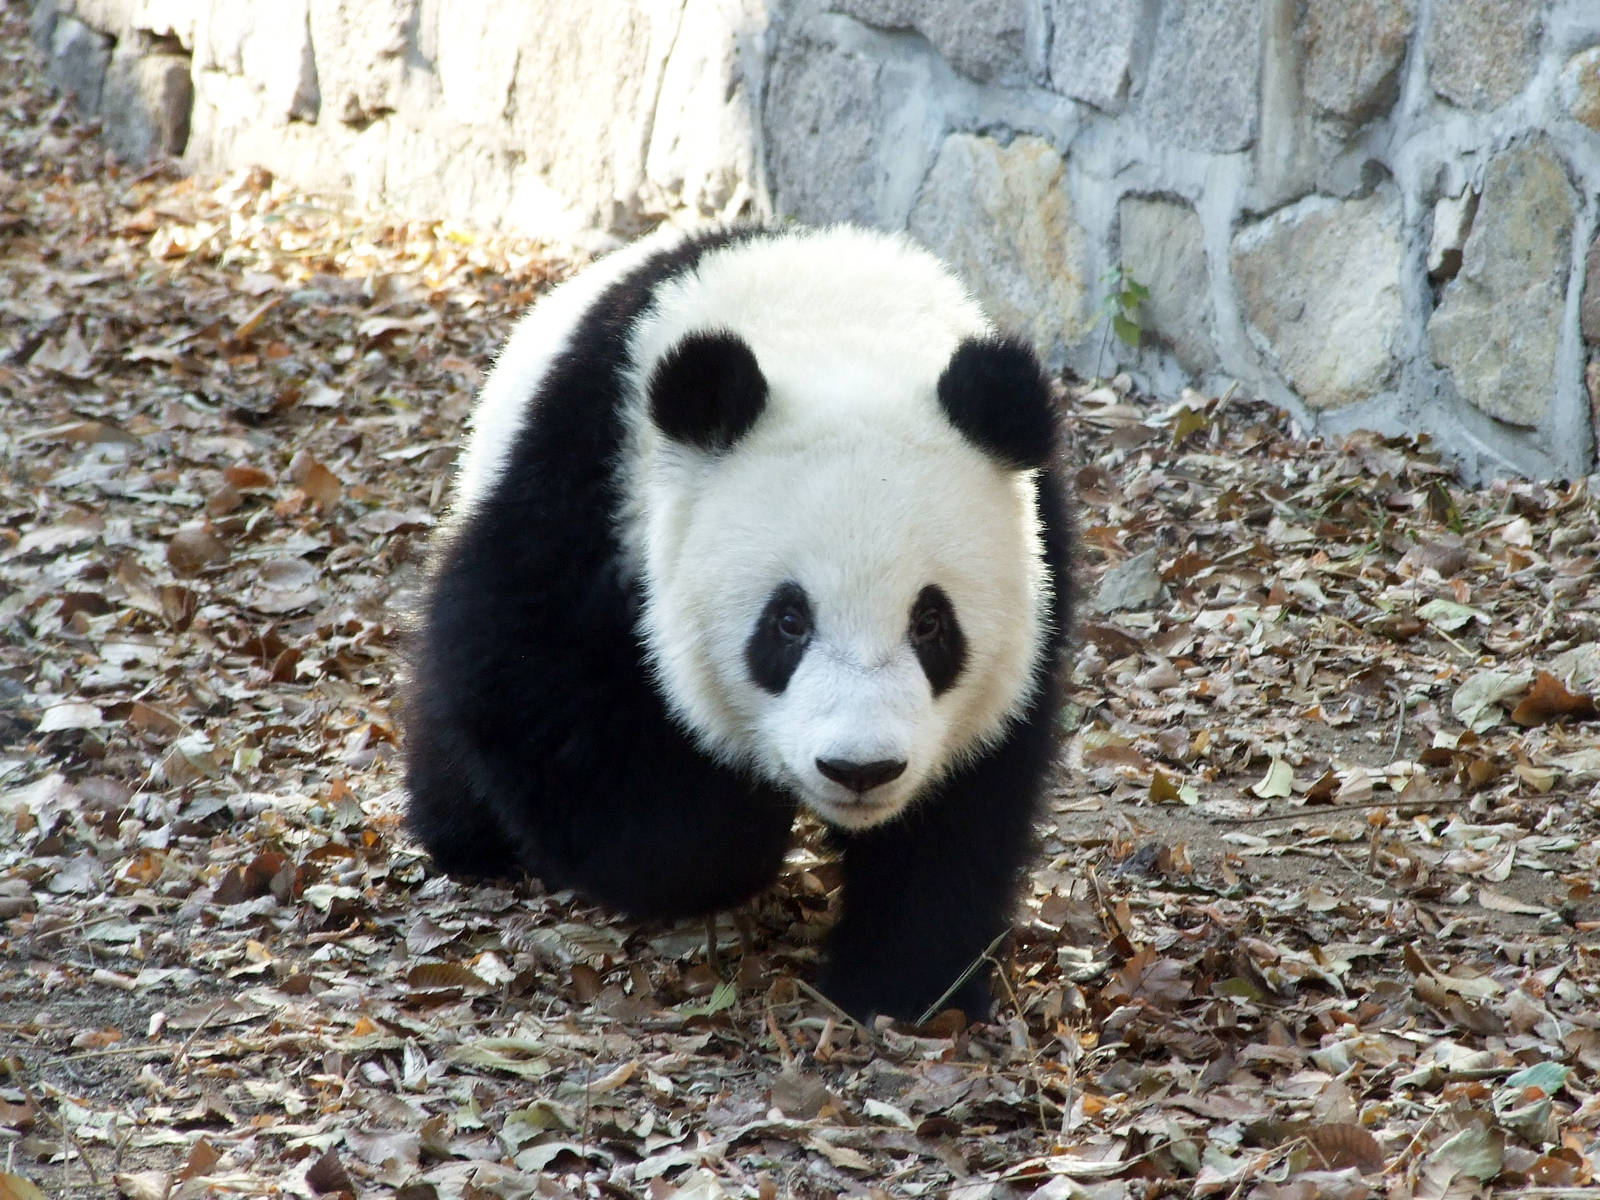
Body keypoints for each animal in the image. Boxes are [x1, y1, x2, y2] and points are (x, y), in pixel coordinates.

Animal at [404, 223, 1073, 1022]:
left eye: (931, 624)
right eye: (787, 621)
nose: (860, 769)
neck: (836, 322)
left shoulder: (1038, 561)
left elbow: (968, 803)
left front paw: (906, 986)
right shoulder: (592, 481)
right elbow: (524, 677)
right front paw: (735, 830)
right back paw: (467, 839)